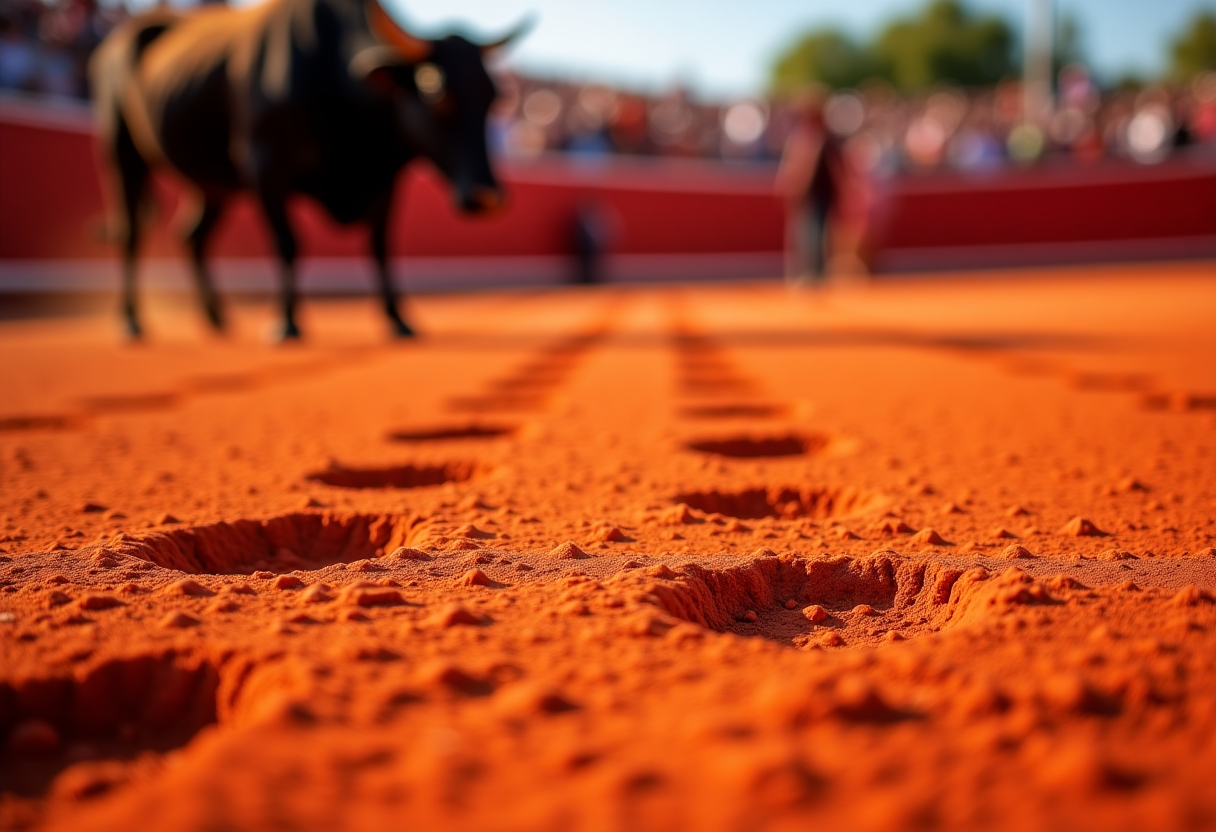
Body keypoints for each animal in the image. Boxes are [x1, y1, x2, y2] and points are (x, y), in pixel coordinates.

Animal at [88, 0, 520, 340]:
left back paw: (216, 319)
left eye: (492, 97)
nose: (488, 197)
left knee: (193, 235)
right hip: (122, 154)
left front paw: (398, 320)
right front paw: (286, 323)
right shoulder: (265, 167)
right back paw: (131, 322)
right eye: (437, 93)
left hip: (214, 185)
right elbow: (289, 243)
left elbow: (380, 246)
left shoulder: (385, 180)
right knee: (131, 231)